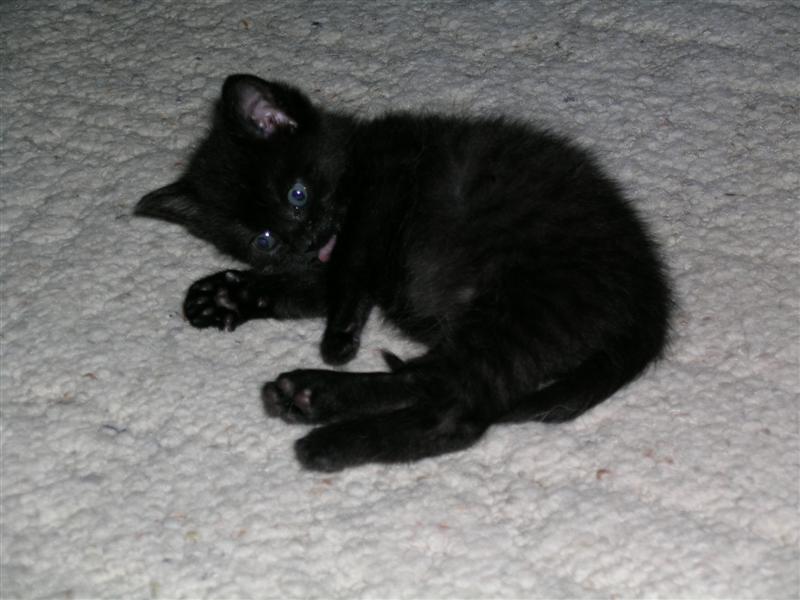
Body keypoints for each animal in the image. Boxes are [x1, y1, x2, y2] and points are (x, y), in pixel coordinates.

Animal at [135, 73, 671, 472]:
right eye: (263, 240)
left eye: (297, 194)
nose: (304, 240)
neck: (356, 152)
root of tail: (652, 293)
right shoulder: (331, 265)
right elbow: (300, 286)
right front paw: (222, 296)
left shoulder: (385, 186)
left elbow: (351, 266)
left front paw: (337, 340)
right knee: (446, 394)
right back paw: (313, 406)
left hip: (524, 301)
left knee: (452, 406)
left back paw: (322, 425)